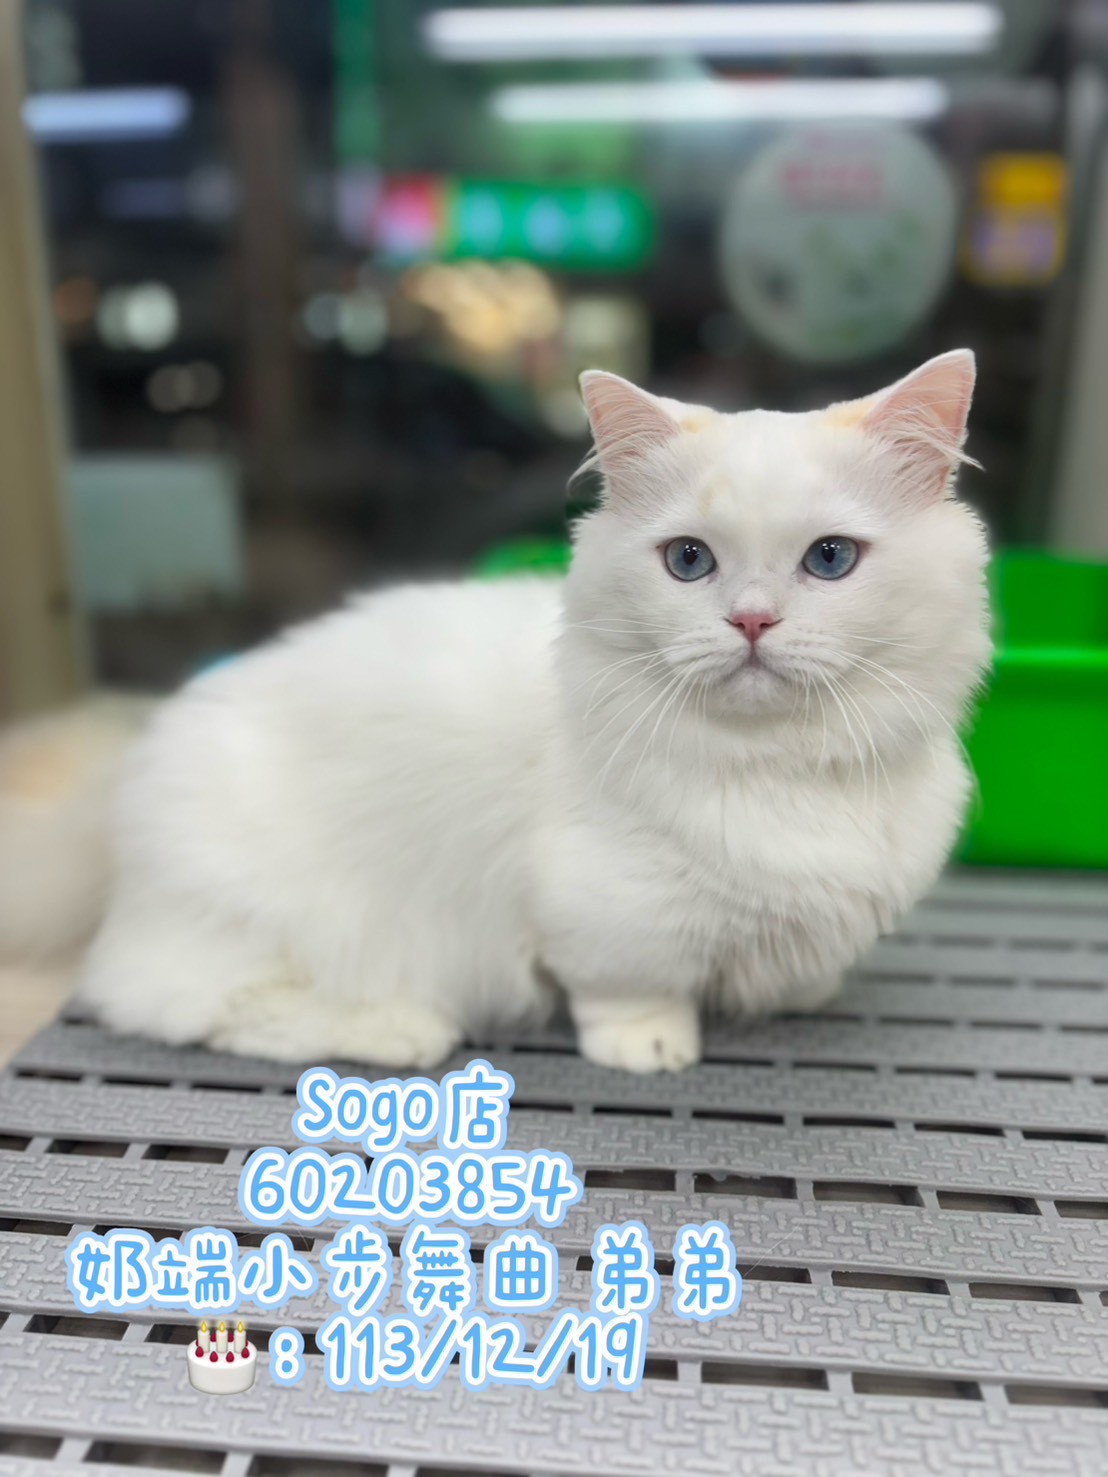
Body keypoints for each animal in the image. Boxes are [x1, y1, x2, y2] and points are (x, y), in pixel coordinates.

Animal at [72, 350, 989, 1073]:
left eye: (830, 559)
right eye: (689, 561)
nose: (752, 621)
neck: (784, 765)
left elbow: (800, 969)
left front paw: (805, 992)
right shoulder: (608, 910)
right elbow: (629, 988)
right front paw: (651, 1046)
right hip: (274, 930)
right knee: (186, 1005)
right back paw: (401, 1030)